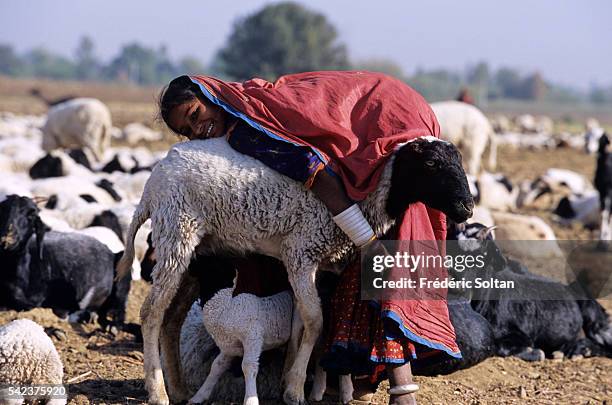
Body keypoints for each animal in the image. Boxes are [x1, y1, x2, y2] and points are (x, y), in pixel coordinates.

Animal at [116, 137, 474, 404]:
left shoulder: (324, 264)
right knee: (151, 312)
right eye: (431, 163)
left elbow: (308, 322)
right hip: (176, 233)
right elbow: (315, 322)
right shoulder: (301, 253)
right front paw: (295, 387)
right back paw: (158, 391)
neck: (364, 200)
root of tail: (155, 178)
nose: (467, 207)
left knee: (173, 317)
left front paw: (300, 382)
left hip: (198, 249)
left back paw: (178, 389)